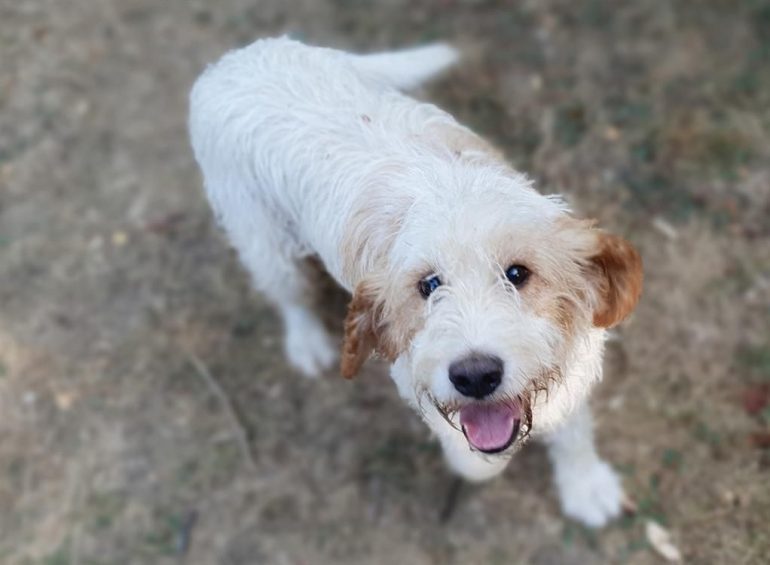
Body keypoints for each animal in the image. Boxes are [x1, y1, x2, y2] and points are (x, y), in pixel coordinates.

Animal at [189, 37, 642, 528]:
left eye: (518, 273)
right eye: (428, 285)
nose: (475, 377)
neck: (452, 192)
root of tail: (238, 58)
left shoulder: (574, 360)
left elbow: (573, 430)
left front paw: (585, 484)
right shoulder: (412, 373)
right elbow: (471, 452)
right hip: (266, 243)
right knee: (290, 295)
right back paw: (306, 341)